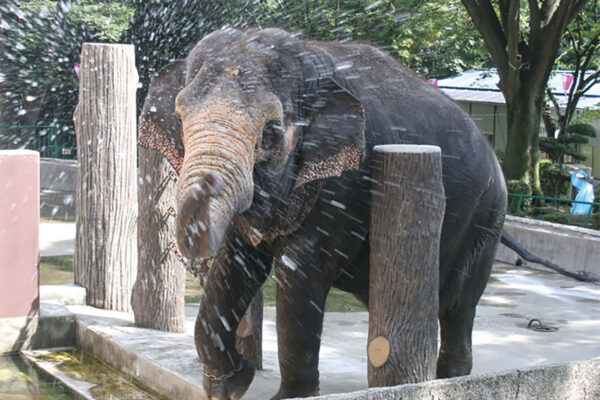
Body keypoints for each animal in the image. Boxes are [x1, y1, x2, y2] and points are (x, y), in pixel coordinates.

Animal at [138, 28, 508, 400]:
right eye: (180, 118)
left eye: (270, 133)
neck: (310, 60)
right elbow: (234, 262)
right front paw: (231, 386)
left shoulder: (347, 182)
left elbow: (300, 272)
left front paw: (287, 396)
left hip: (486, 217)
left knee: (457, 301)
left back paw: (450, 379)